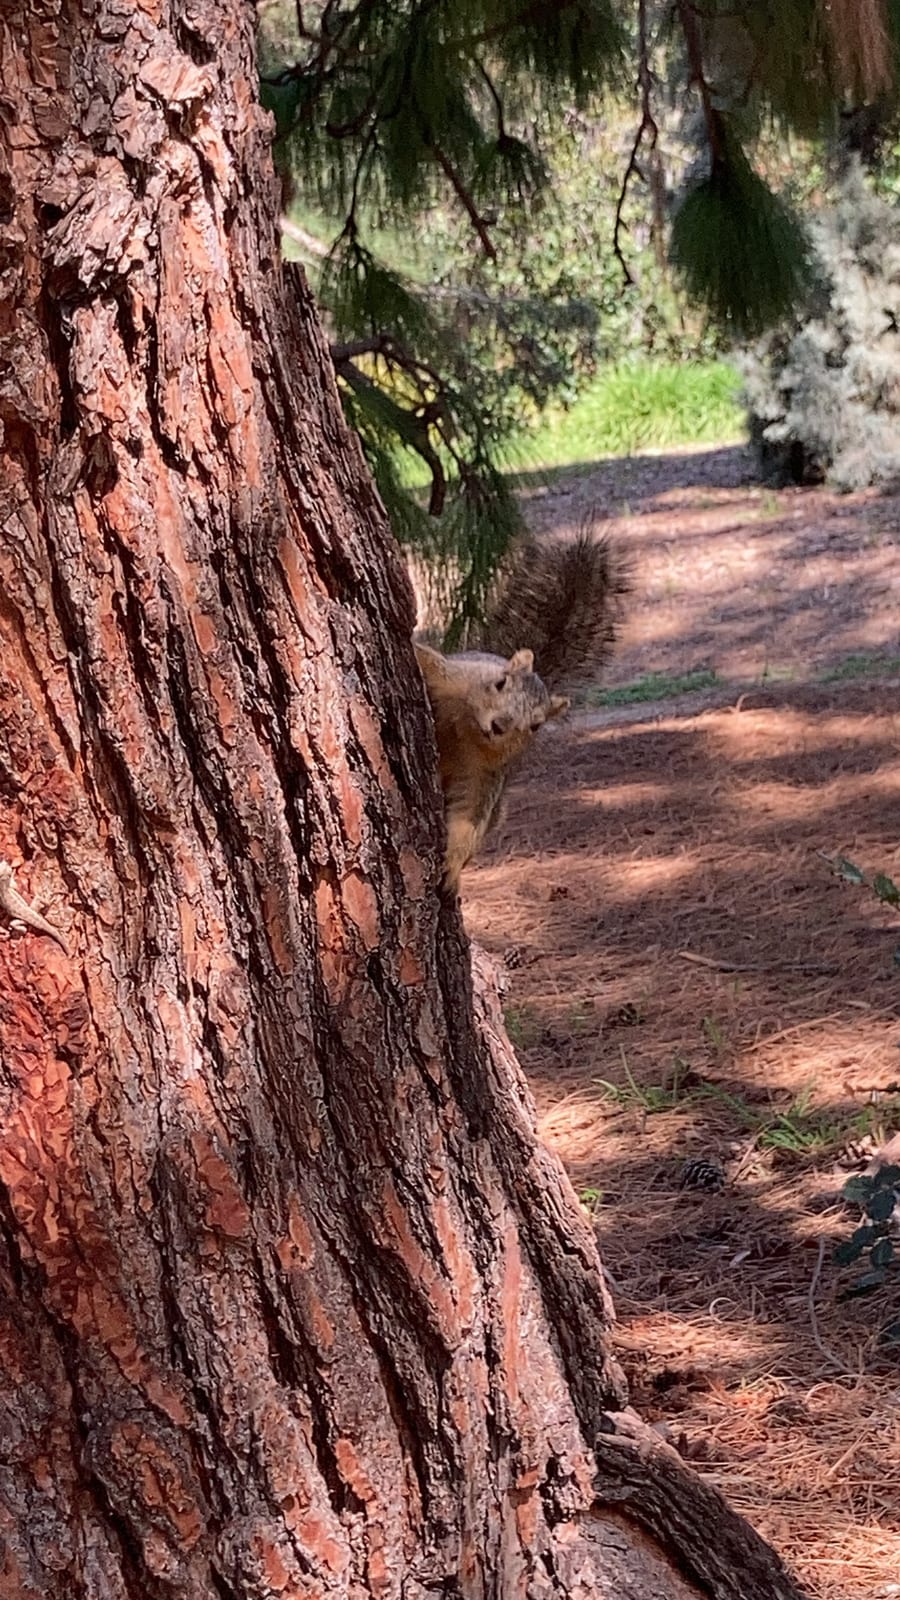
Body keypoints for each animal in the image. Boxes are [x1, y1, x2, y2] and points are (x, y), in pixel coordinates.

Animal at [415, 527, 626, 893]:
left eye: (536, 725)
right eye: (500, 683)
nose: (500, 725)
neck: (466, 728)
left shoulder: (486, 774)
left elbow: (468, 816)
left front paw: (452, 865)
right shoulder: (453, 678)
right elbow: (426, 661)